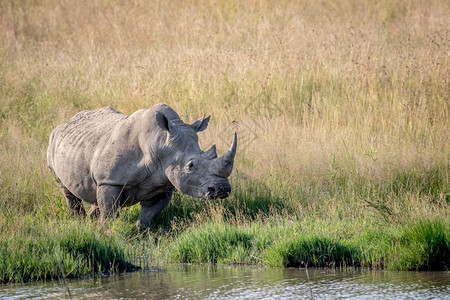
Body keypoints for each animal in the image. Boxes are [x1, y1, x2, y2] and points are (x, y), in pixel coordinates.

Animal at [47, 104, 237, 229]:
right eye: (190, 165)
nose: (222, 189)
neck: (161, 144)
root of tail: (65, 122)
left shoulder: (164, 185)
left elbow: (146, 218)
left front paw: (140, 234)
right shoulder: (110, 180)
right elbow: (109, 213)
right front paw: (107, 232)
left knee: (95, 194)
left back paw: (90, 221)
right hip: (53, 143)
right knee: (66, 189)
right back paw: (78, 221)